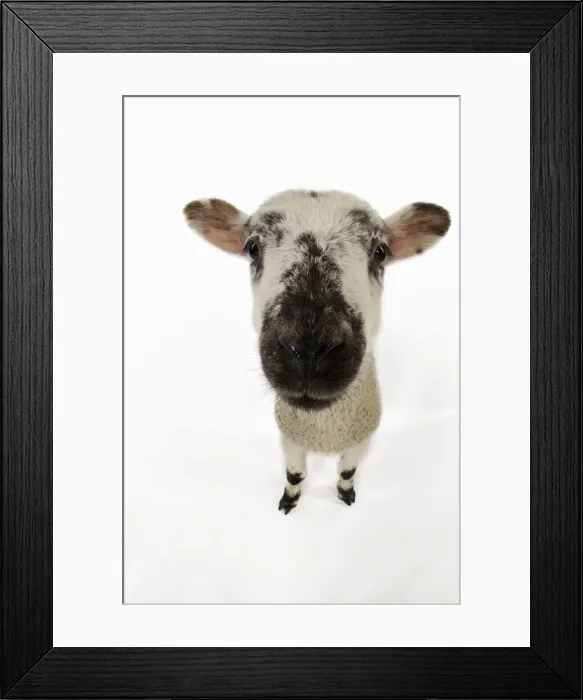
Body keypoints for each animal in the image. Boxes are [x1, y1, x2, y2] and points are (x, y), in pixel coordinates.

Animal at [184, 189, 450, 513]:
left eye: (380, 252)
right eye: (252, 248)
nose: (309, 350)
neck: (324, 428)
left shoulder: (360, 440)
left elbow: (346, 472)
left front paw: (345, 494)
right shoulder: (289, 437)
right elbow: (295, 475)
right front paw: (289, 500)